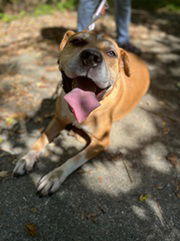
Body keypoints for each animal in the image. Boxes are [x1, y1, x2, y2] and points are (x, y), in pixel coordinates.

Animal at [12, 30, 150, 196]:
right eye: (76, 41)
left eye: (111, 53)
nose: (91, 57)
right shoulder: (58, 119)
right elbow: (42, 138)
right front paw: (27, 158)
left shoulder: (101, 142)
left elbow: (75, 158)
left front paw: (53, 177)